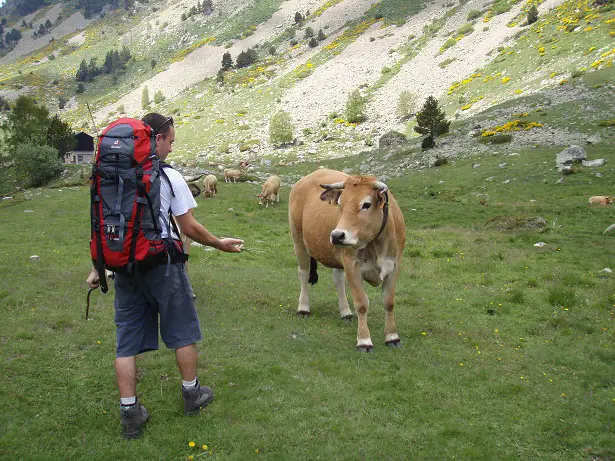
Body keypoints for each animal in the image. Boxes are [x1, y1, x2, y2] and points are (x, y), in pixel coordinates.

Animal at [290, 167, 410, 350]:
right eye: (340, 203)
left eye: (366, 204)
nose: (337, 235)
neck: (376, 244)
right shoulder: (352, 266)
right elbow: (361, 303)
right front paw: (364, 340)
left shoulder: (394, 265)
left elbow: (389, 302)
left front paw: (392, 337)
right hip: (299, 241)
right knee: (303, 273)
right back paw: (303, 308)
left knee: (338, 279)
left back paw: (345, 312)